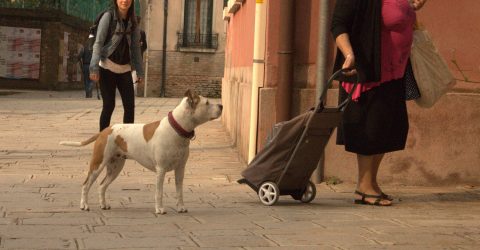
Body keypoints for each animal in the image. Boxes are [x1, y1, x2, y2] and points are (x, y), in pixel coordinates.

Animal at [60, 89, 223, 214]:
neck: (177, 129)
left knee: (102, 185)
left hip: (115, 167)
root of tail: (105, 130)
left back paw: (103, 205)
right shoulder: (161, 169)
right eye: (207, 103)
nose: (221, 105)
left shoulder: (180, 169)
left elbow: (179, 191)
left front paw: (181, 207)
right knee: (86, 184)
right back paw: (84, 205)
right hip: (98, 164)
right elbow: (159, 192)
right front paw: (159, 209)